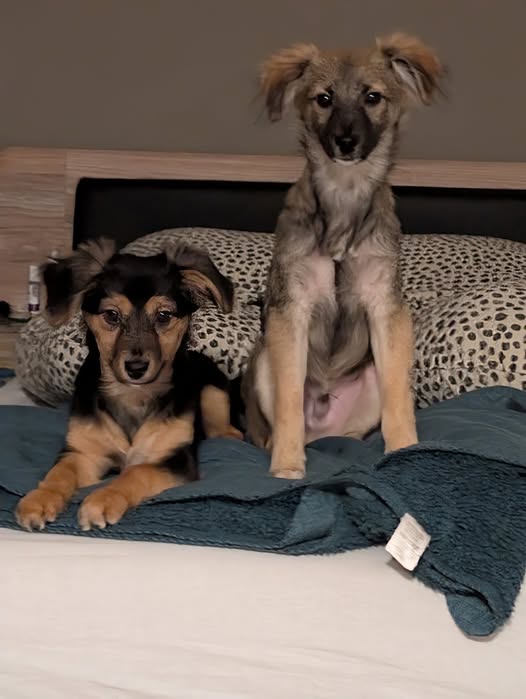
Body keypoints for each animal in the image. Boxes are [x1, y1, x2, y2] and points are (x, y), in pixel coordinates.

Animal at [15, 240, 242, 531]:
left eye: (164, 315)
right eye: (112, 315)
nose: (136, 368)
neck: (132, 395)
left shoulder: (175, 459)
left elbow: (136, 472)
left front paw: (103, 499)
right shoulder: (83, 452)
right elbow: (59, 473)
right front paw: (40, 499)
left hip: (214, 393)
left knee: (225, 428)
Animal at [242, 33, 443, 479]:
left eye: (372, 97)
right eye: (324, 99)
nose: (346, 142)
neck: (343, 198)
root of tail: (323, 427)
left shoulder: (385, 306)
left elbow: (398, 398)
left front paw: (405, 449)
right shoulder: (291, 310)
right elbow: (288, 401)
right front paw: (287, 465)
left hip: (367, 379)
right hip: (264, 358)